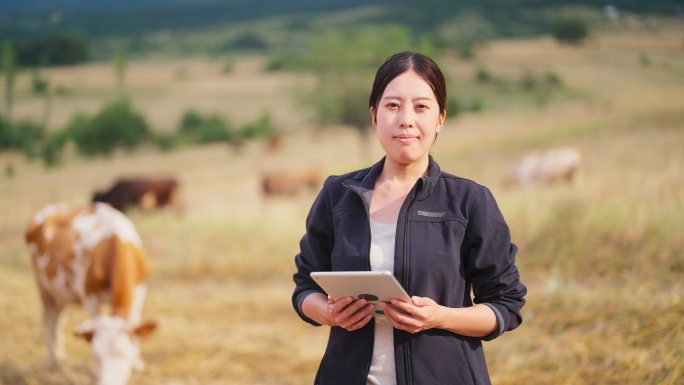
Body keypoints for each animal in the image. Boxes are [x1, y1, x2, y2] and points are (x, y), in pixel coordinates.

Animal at [25, 202, 156, 382]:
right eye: (97, 355)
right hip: (43, 285)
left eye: (122, 354)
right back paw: (53, 360)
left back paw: (61, 357)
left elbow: (135, 323)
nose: (107, 382)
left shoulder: (139, 290)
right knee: (49, 319)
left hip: (60, 292)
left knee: (59, 319)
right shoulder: (89, 296)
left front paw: (137, 363)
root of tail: (52, 208)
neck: (113, 245)